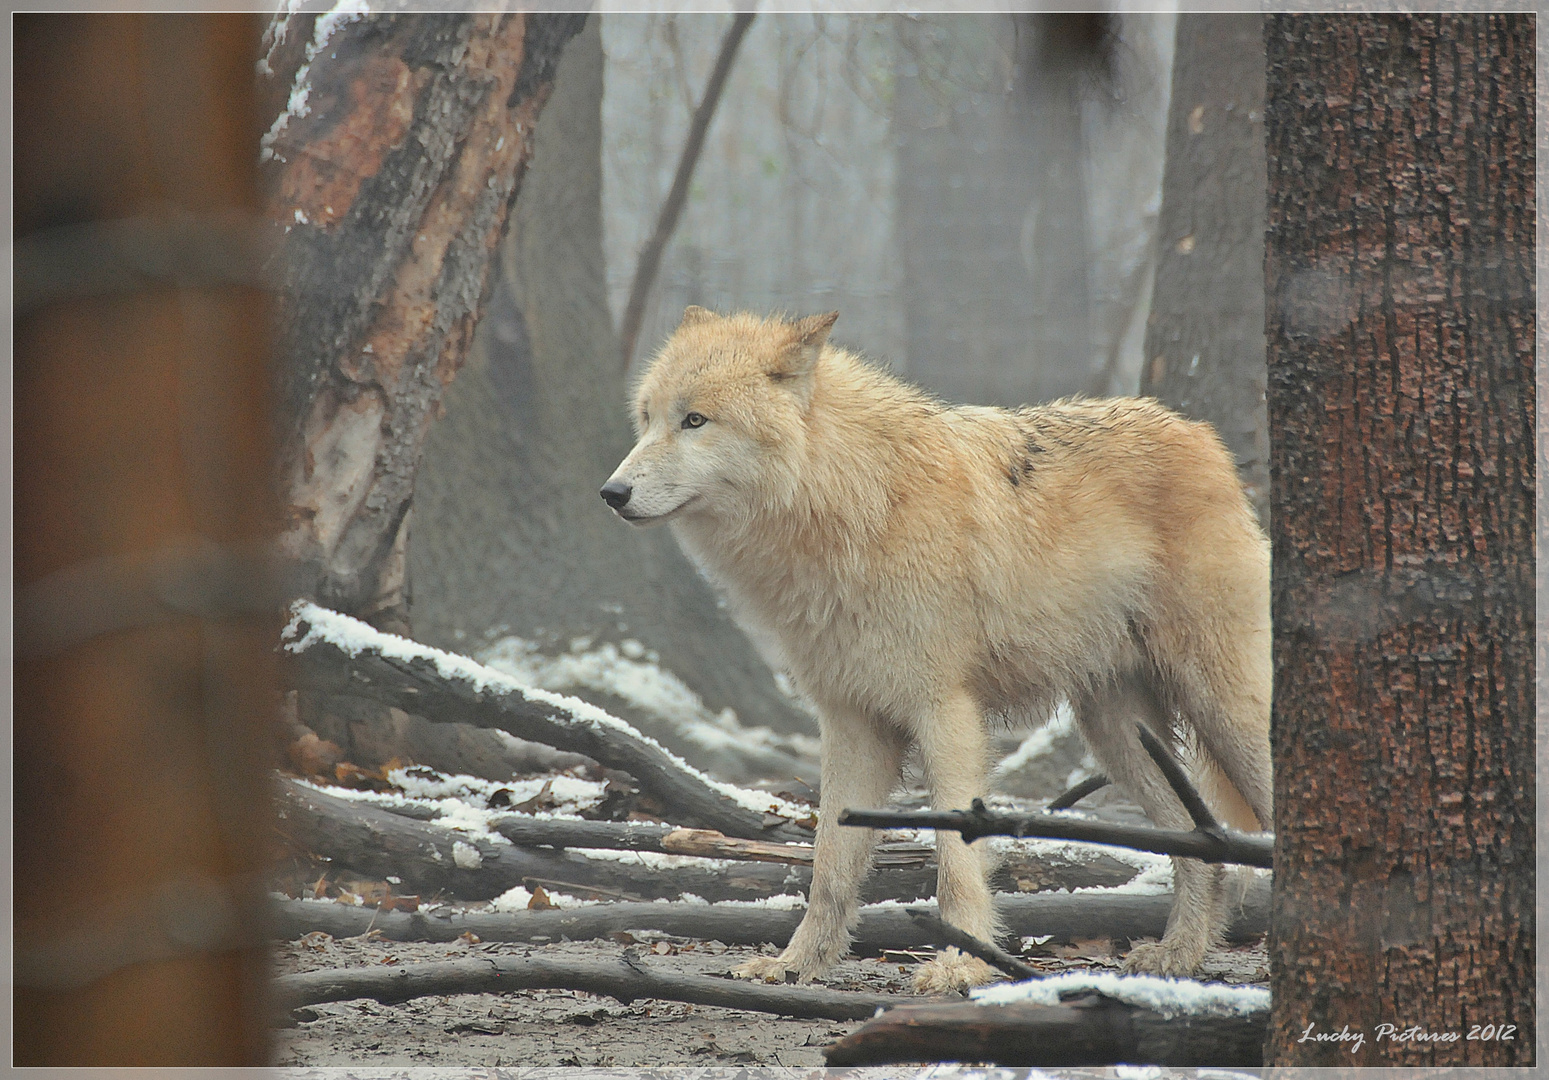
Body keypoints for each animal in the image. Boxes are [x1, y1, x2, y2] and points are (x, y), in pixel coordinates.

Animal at [597, 306, 1263, 991]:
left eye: (695, 420)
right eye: (648, 418)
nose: (611, 493)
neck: (856, 505)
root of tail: (1200, 435)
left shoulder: (945, 712)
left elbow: (953, 859)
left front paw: (960, 965)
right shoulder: (852, 722)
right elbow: (829, 868)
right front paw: (796, 964)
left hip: (1227, 714)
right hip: (1119, 734)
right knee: (1197, 844)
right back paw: (1177, 957)